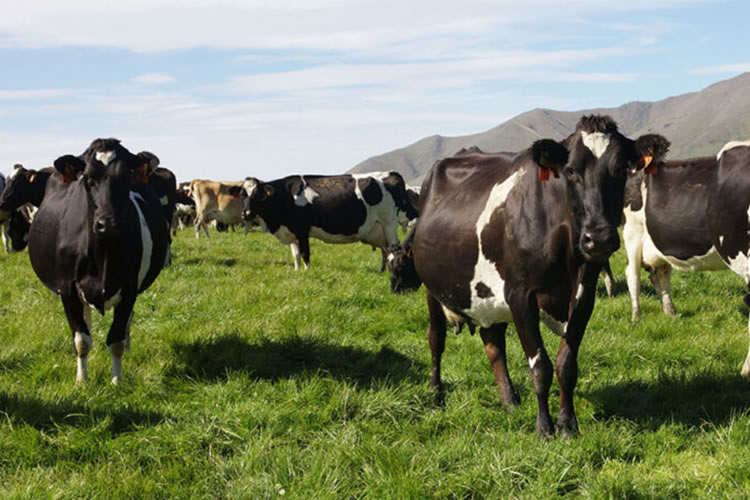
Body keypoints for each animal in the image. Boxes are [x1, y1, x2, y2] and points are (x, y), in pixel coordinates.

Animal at [27, 139, 170, 384]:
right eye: (87, 178)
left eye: (127, 176)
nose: (109, 223)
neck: (103, 258)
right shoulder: (68, 290)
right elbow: (82, 341)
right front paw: (82, 381)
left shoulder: (130, 288)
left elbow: (116, 340)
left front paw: (116, 382)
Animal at [406, 115, 668, 436]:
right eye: (570, 171)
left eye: (620, 169)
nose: (599, 238)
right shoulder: (520, 295)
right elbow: (539, 366)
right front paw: (544, 428)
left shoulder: (584, 294)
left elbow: (566, 364)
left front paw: (568, 424)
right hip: (433, 289)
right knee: (436, 338)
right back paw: (436, 392)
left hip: (487, 293)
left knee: (493, 343)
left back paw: (509, 400)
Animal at [624, 156, 728, 320]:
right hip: (633, 234)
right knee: (633, 275)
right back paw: (636, 316)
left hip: (660, 242)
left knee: (660, 274)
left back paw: (670, 313)